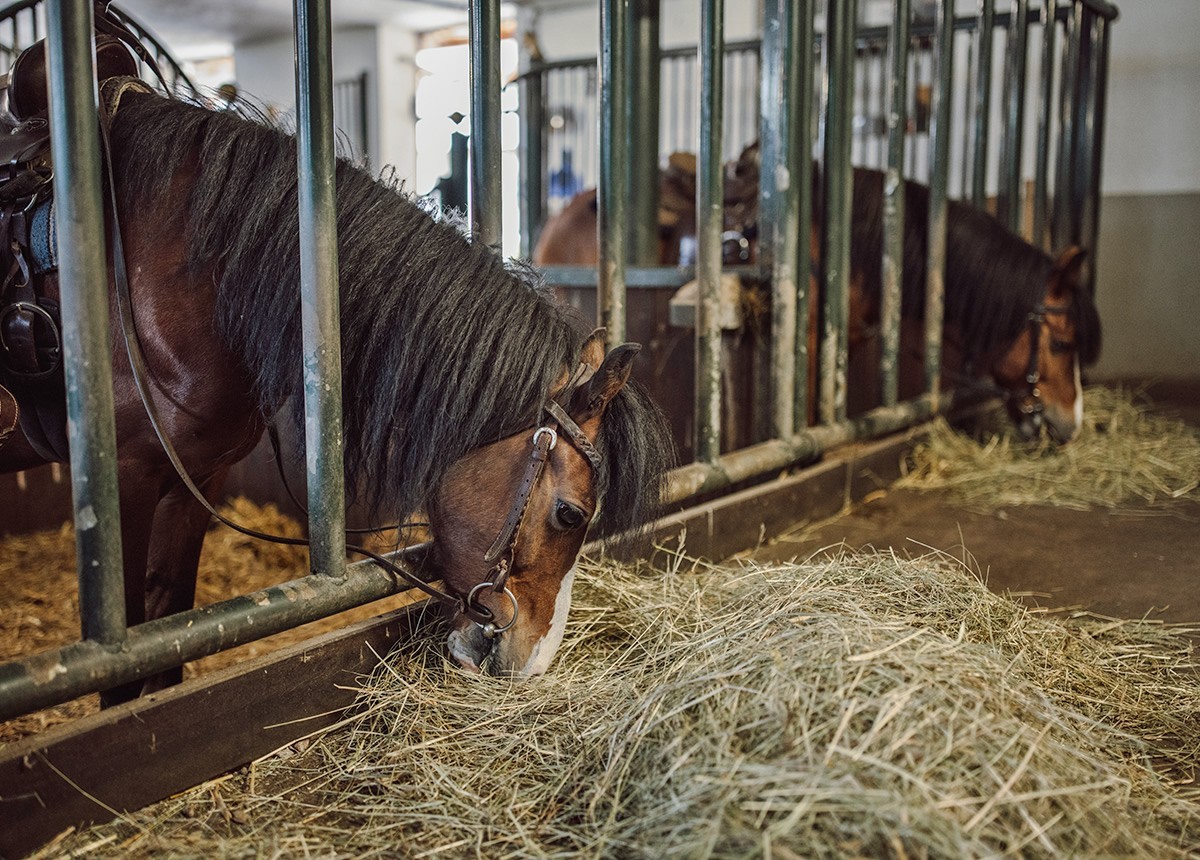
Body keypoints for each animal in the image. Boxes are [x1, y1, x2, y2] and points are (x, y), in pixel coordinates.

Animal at [0, 79, 674, 704]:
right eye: (570, 514)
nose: (534, 663)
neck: (176, 278)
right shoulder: (125, 487)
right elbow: (124, 665)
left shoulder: (195, 482)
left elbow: (169, 633)